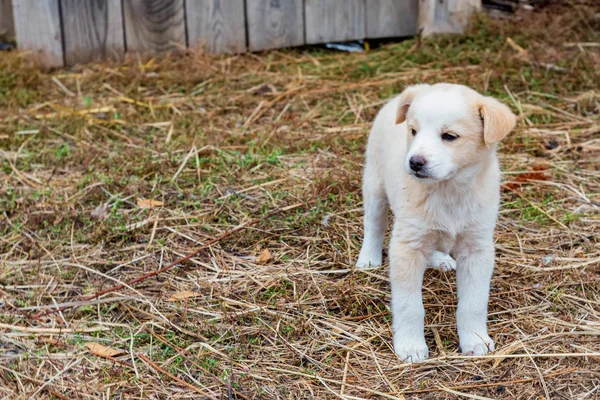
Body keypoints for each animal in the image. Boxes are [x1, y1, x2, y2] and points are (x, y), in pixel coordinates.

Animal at [356, 83, 516, 362]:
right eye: (413, 131)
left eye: (449, 136)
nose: (414, 162)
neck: (448, 190)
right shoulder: (407, 247)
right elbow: (410, 305)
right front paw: (411, 346)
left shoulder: (477, 249)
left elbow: (473, 303)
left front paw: (475, 339)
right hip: (375, 184)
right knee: (374, 224)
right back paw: (368, 258)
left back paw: (440, 259)